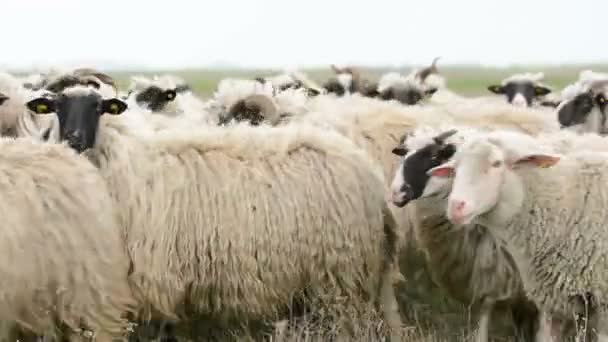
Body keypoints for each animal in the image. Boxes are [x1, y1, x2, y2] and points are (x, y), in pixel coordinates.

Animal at [26, 86, 404, 340]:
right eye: (56, 108)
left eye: (99, 108)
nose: (74, 139)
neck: (118, 167)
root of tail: (368, 173)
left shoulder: (149, 282)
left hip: (341, 280)